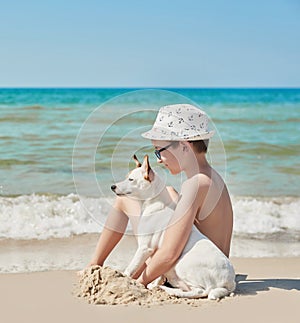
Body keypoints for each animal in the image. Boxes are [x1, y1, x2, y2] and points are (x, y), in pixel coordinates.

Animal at [111, 156, 236, 300]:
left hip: (181, 264)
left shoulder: (144, 248)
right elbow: (157, 273)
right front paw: (154, 283)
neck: (154, 204)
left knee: (201, 291)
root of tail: (229, 282)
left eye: (131, 179)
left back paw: (170, 290)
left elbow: (130, 268)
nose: (112, 186)